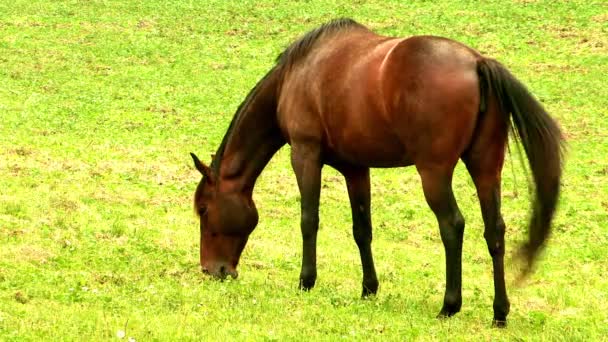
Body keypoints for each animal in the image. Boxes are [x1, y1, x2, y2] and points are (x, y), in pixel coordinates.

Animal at [191, 18, 564, 326]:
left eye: (205, 209)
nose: (212, 270)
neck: (297, 75)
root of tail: (476, 62)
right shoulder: (356, 169)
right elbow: (362, 230)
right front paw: (369, 288)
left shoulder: (305, 154)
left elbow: (309, 220)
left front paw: (306, 280)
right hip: (485, 168)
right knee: (494, 231)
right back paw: (499, 312)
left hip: (434, 172)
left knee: (452, 226)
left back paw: (449, 305)